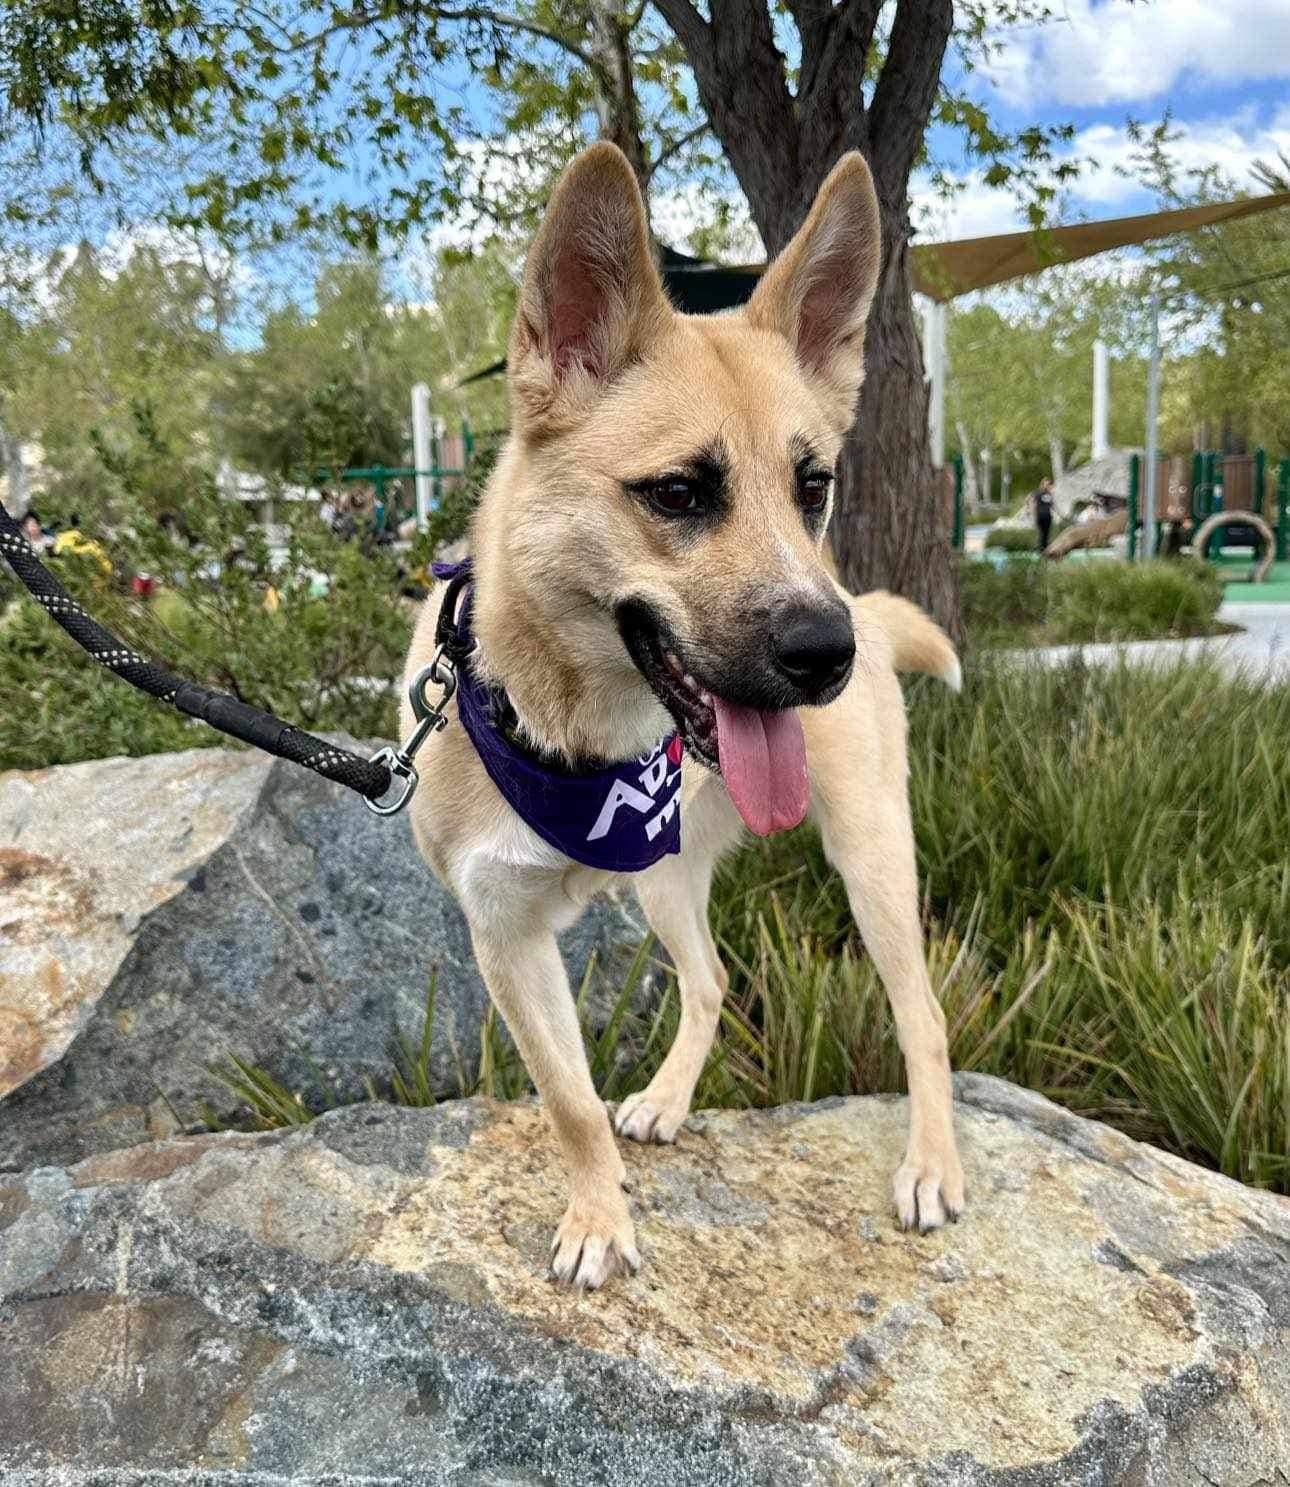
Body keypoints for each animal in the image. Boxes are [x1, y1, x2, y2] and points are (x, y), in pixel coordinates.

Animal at [407, 142, 963, 1290]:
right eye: (677, 492)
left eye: (812, 485)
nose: (828, 653)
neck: (572, 736)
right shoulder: (504, 935)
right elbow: (569, 1102)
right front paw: (600, 1213)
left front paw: (597, 1220)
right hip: (665, 883)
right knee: (710, 980)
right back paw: (667, 1099)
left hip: (872, 856)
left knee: (923, 1017)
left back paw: (933, 1163)